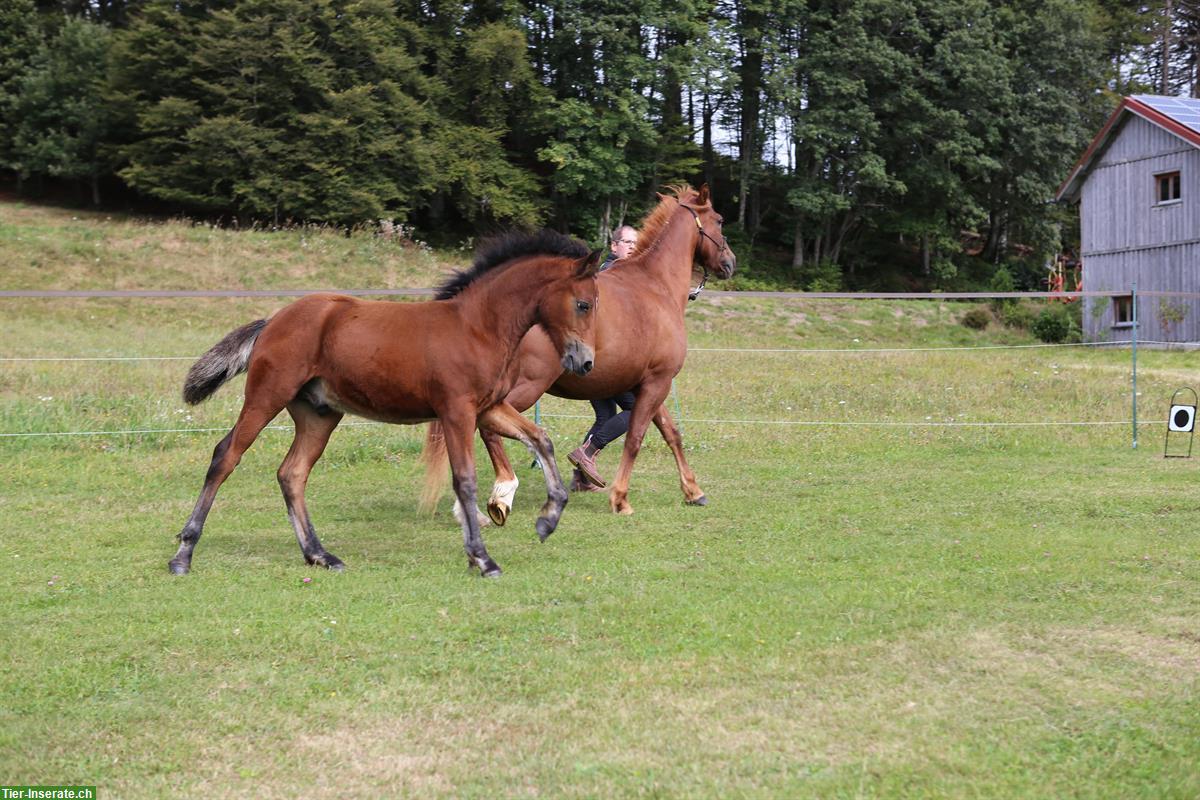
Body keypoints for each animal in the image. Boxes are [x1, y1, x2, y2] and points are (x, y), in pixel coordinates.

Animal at [169, 235, 600, 578]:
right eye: (583, 304)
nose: (585, 362)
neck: (478, 327)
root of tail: (273, 320)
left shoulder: (489, 407)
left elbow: (540, 439)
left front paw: (547, 519)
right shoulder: (456, 411)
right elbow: (464, 480)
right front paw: (482, 558)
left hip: (319, 414)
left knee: (292, 473)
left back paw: (319, 554)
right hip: (266, 395)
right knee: (226, 456)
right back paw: (183, 554)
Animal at [422, 183, 739, 520]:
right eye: (719, 220)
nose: (730, 262)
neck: (657, 286)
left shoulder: (646, 384)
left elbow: (671, 433)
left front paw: (693, 491)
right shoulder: (658, 381)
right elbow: (635, 438)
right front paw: (620, 498)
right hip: (524, 388)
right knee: (487, 427)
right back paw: (501, 493)